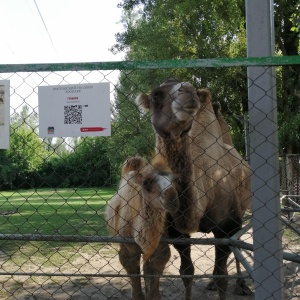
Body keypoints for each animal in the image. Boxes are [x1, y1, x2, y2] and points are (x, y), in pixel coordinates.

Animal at [106, 156, 178, 298]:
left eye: (173, 181)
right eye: (146, 183)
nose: (172, 198)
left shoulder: (160, 246)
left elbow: (154, 271)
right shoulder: (128, 248)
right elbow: (134, 273)